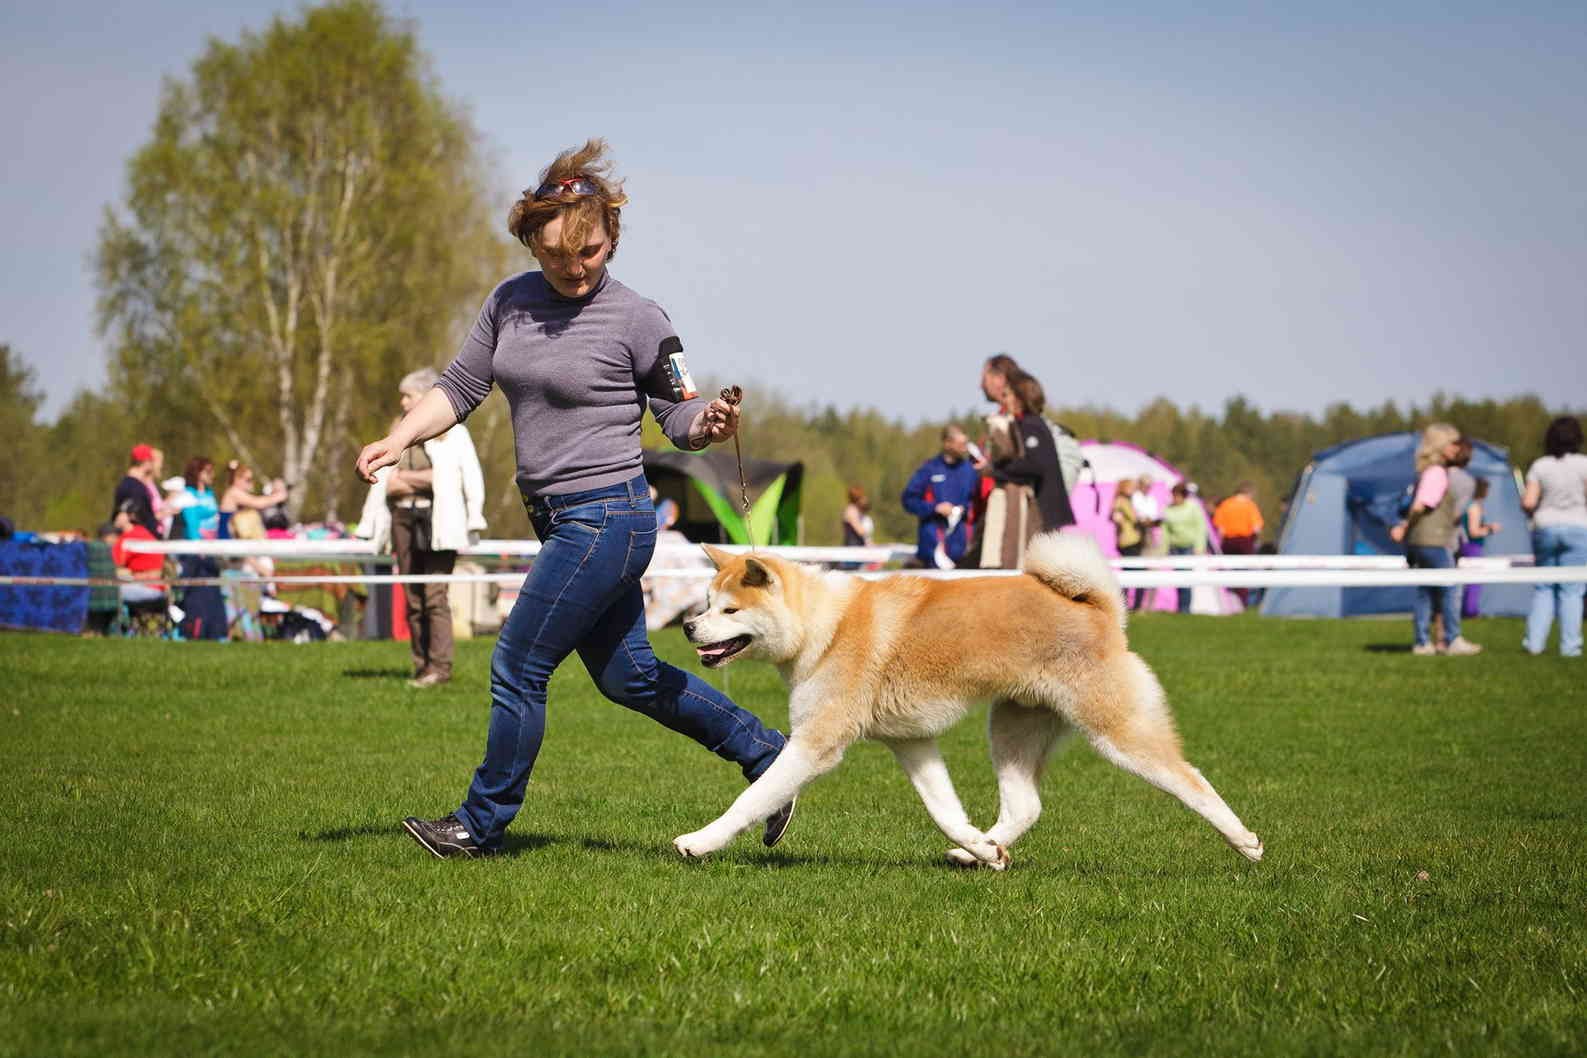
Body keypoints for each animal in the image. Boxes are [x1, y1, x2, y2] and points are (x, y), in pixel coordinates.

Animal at [679, 532, 1263, 875]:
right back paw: (978, 851)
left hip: (1116, 731)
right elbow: (946, 813)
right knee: (1026, 805)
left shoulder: (816, 744)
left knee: (1192, 780)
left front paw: (700, 842)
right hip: (1011, 729)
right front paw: (979, 847)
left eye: (730, 610)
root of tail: (1098, 609)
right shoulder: (912, 742)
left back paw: (1245, 841)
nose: (687, 626)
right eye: (706, 602)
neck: (824, 625)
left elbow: (751, 800)